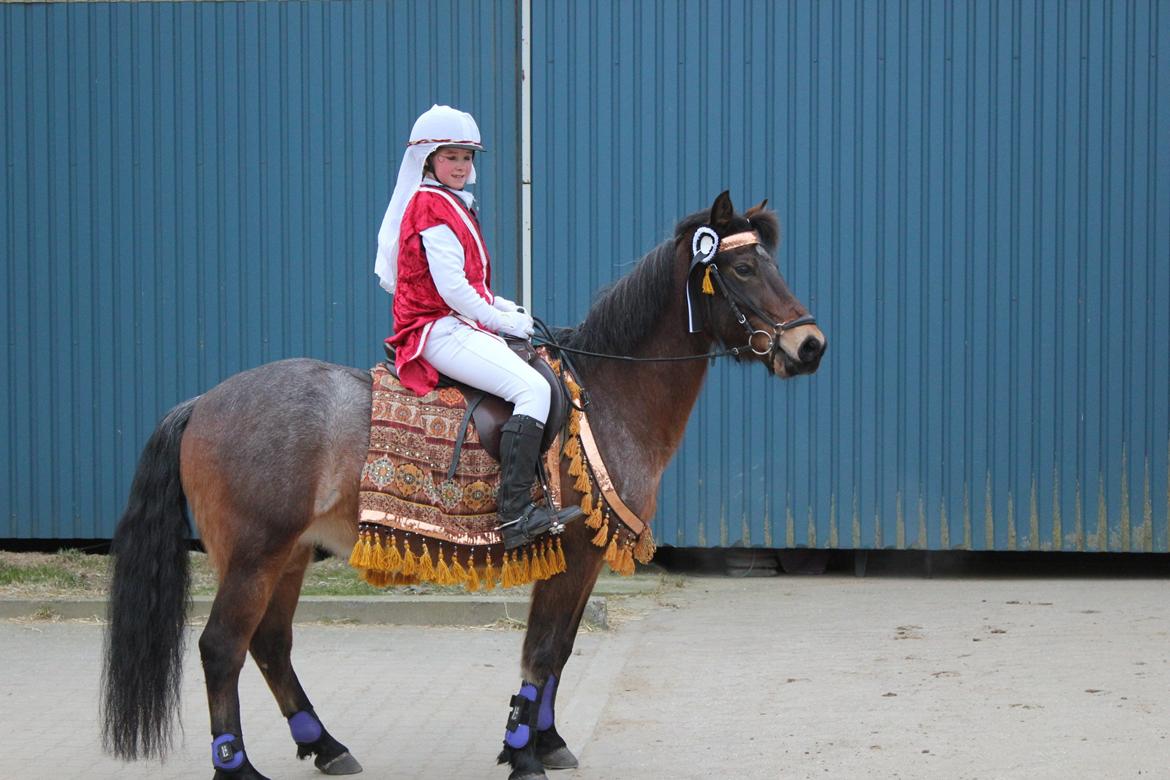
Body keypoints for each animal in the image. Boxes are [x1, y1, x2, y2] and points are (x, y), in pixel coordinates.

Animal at [105, 190, 828, 780]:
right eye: (742, 269)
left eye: (770, 262)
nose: (811, 345)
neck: (607, 393)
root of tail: (202, 402)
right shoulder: (572, 553)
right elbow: (541, 652)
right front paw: (521, 754)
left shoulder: (582, 559)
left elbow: (560, 652)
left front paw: (545, 741)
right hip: (255, 553)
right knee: (221, 647)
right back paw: (237, 766)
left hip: (289, 555)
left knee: (271, 645)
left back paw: (326, 746)